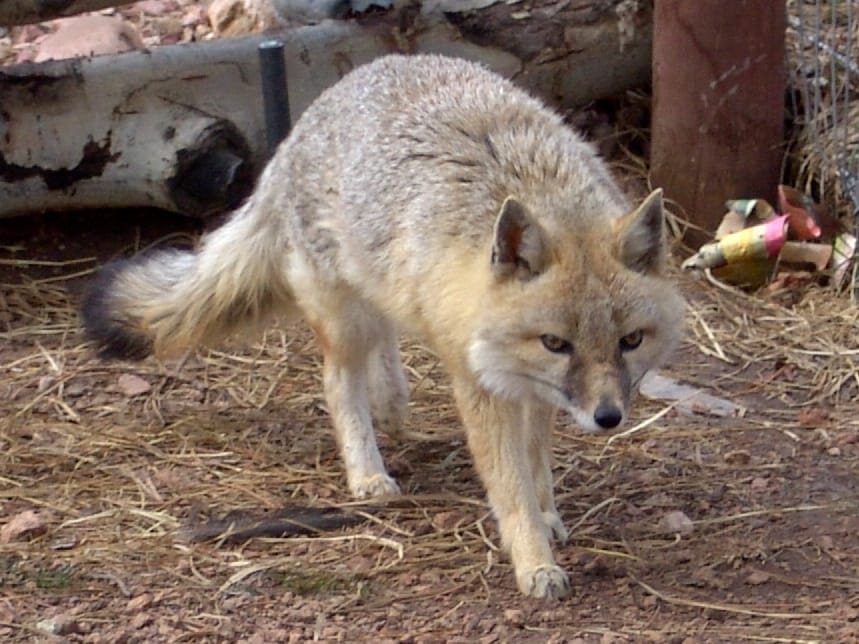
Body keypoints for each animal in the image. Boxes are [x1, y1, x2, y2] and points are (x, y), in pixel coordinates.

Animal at [81, 54, 685, 600]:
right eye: (557, 343)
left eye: (630, 341)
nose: (608, 418)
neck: (538, 189)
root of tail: (302, 125)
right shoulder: (483, 385)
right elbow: (509, 484)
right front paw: (534, 559)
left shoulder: (533, 388)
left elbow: (536, 464)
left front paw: (548, 515)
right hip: (344, 319)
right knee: (338, 383)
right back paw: (367, 471)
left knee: (386, 336)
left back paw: (392, 399)